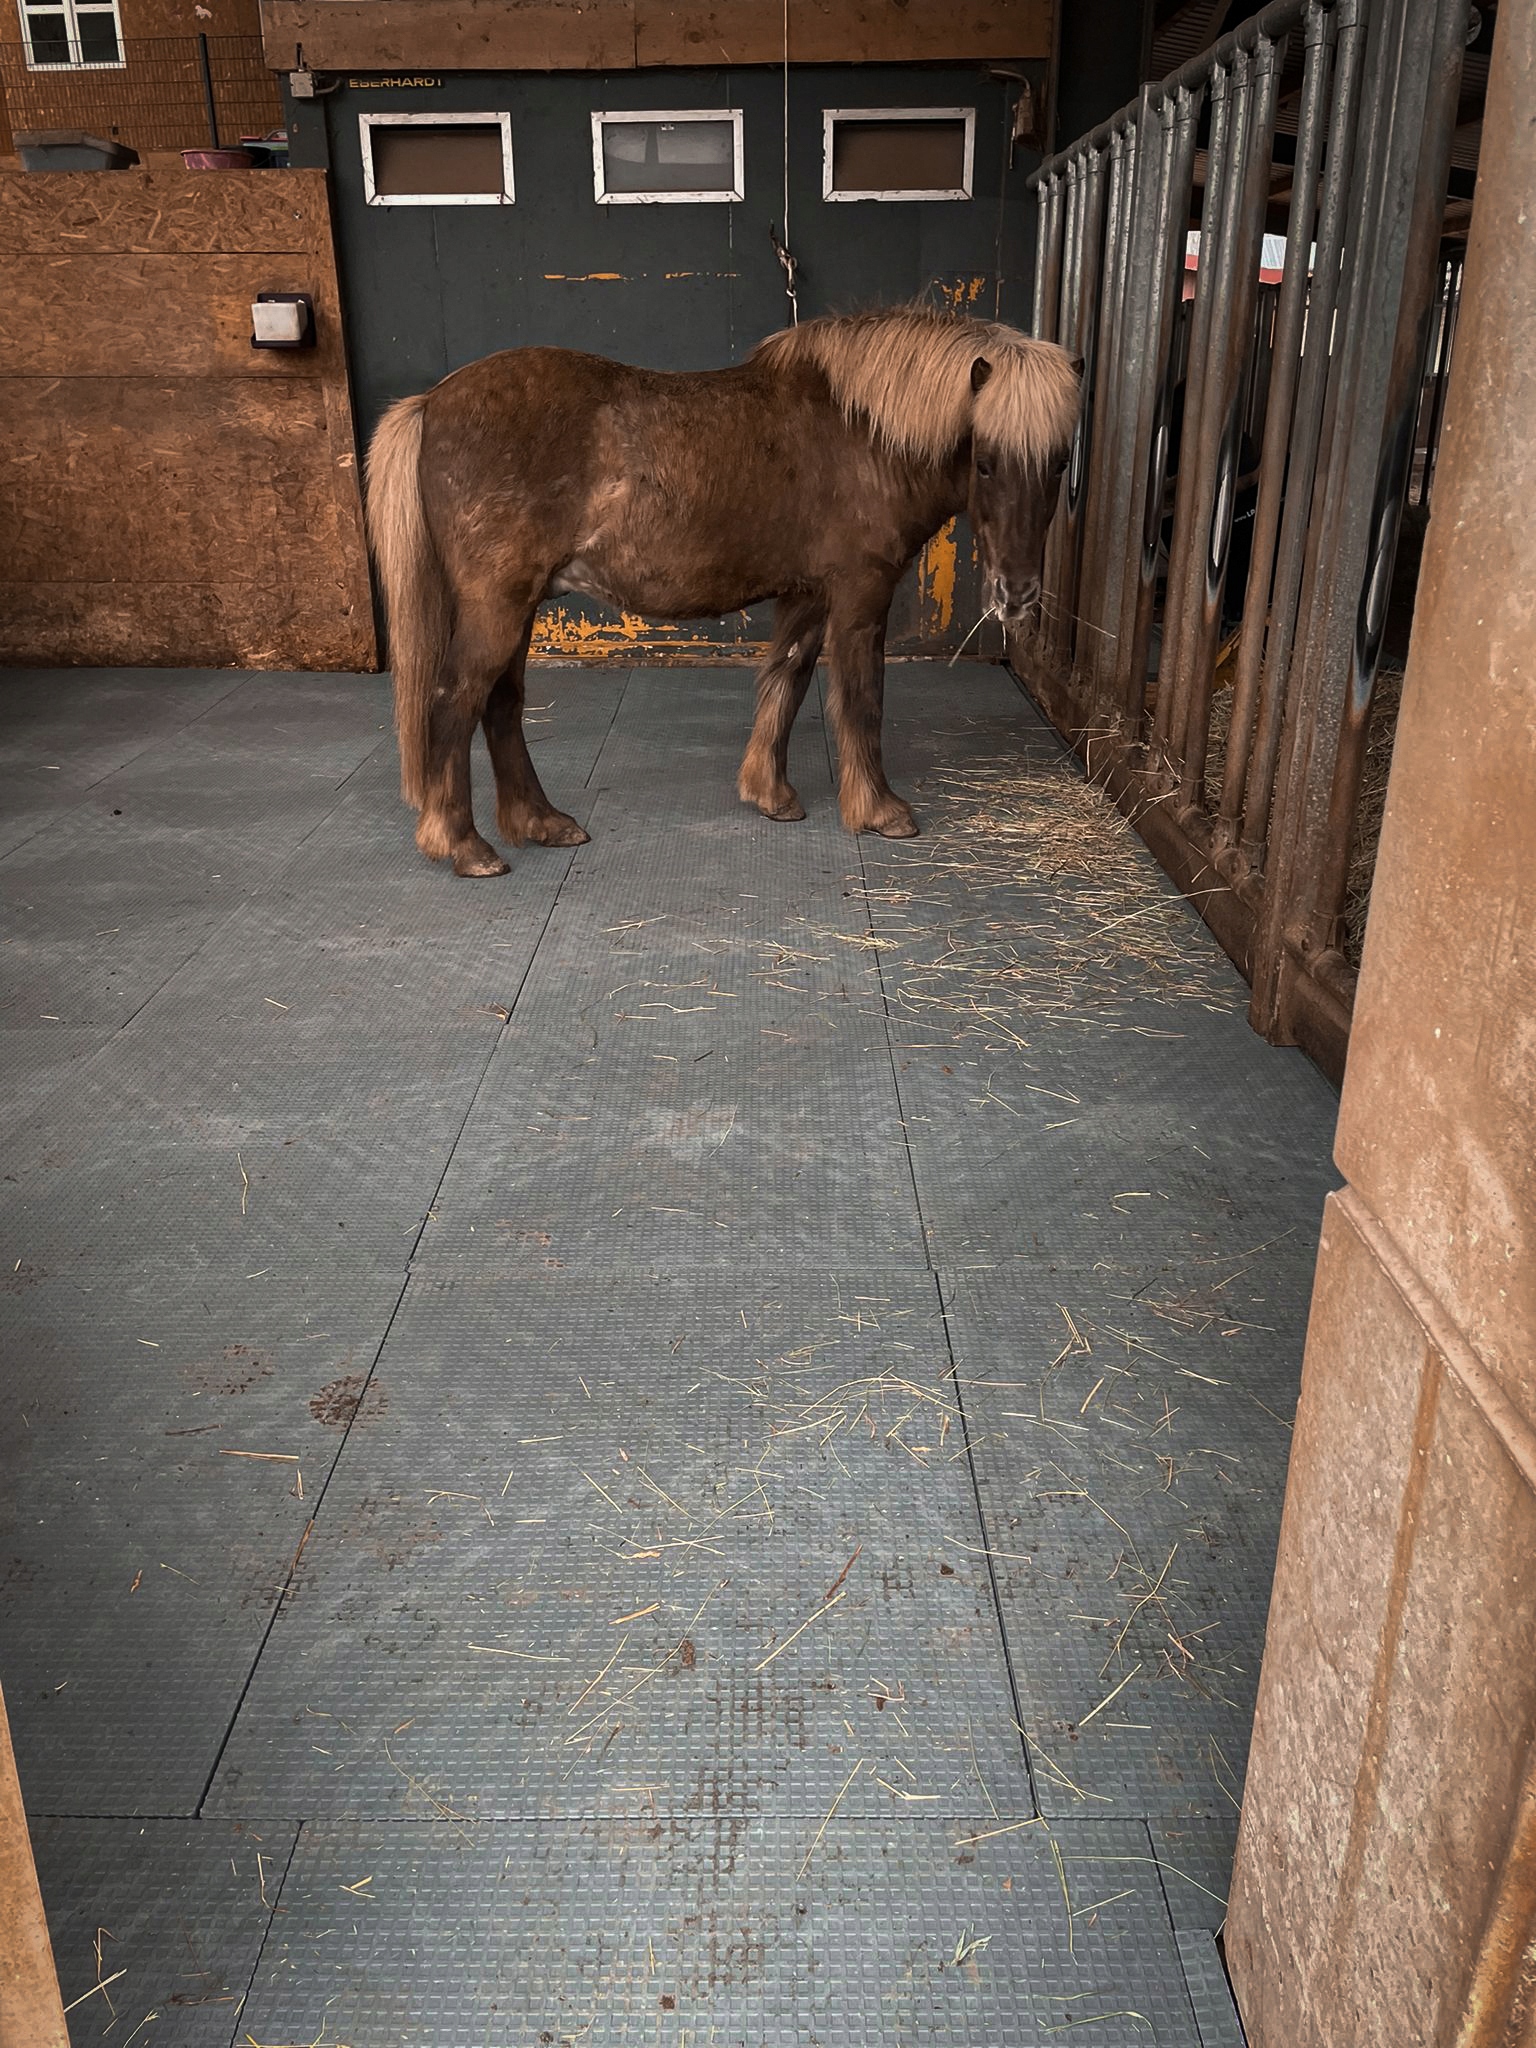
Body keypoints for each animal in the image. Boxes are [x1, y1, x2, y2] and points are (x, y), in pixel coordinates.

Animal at [365, 306, 1082, 877]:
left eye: (1059, 462)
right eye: (984, 462)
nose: (1018, 594)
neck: (860, 434)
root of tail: (432, 403)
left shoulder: (809, 594)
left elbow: (787, 681)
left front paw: (772, 795)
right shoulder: (860, 592)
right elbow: (861, 700)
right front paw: (880, 810)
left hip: (518, 608)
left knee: (501, 705)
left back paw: (540, 822)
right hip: (497, 605)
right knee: (455, 703)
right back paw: (464, 845)